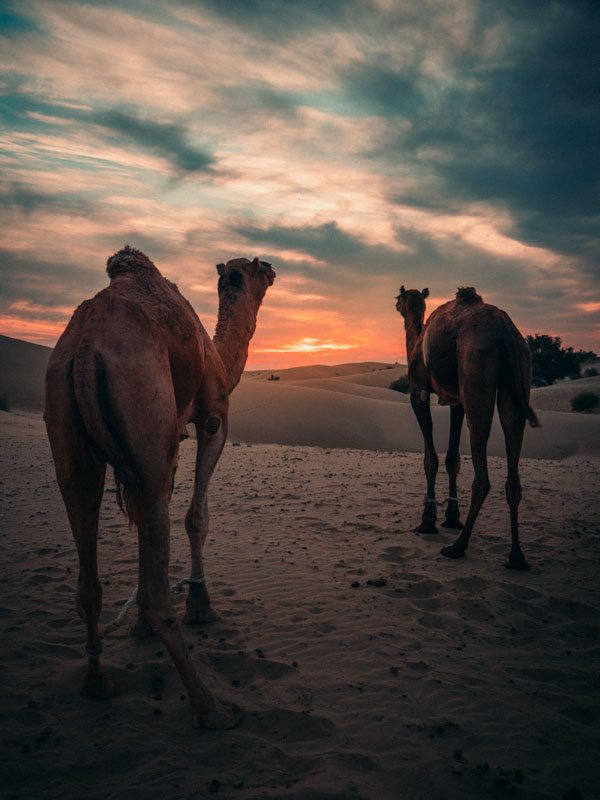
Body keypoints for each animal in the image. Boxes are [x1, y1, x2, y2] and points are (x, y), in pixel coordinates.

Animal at [44, 246, 275, 729]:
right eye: (258, 268)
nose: (275, 269)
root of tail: (84, 347)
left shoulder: (166, 450)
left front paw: (139, 629)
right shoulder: (212, 417)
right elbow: (196, 518)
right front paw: (201, 606)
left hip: (67, 428)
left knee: (86, 573)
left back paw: (97, 682)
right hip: (142, 403)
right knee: (155, 594)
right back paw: (210, 707)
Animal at [396, 286, 540, 569]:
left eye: (399, 297)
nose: (396, 305)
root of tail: (506, 333)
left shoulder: (418, 392)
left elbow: (431, 459)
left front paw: (428, 520)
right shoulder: (456, 400)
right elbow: (452, 458)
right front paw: (451, 516)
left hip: (477, 369)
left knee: (482, 474)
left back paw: (458, 546)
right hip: (519, 371)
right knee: (513, 436)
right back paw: (516, 557)